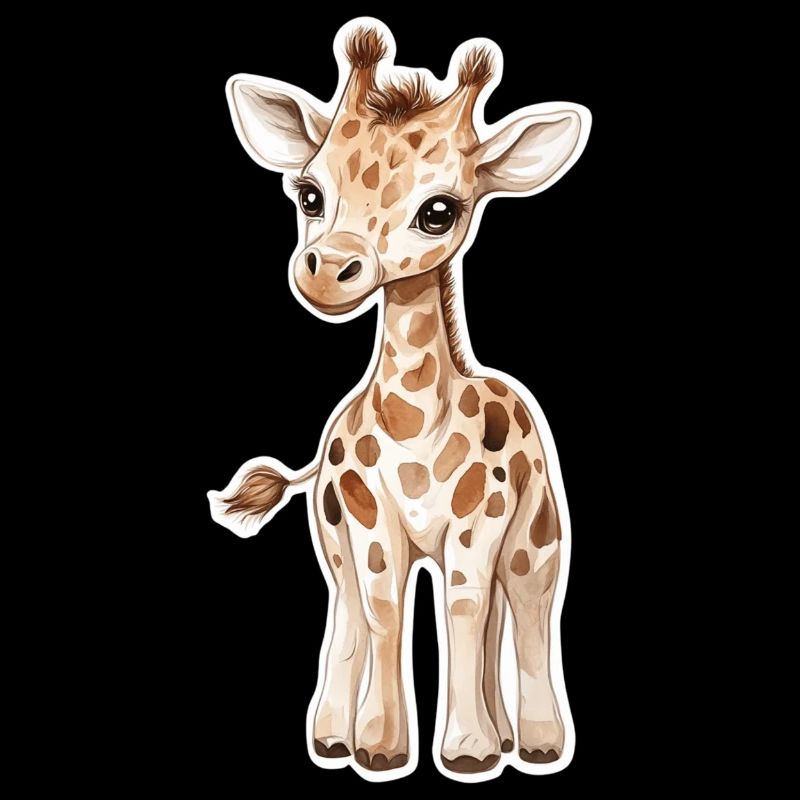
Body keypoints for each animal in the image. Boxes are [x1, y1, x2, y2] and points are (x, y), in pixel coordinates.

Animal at [209, 18, 590, 782]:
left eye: (440, 210)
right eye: (309, 194)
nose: (327, 271)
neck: (414, 422)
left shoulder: (478, 522)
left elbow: (464, 611)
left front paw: (467, 752)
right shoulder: (367, 519)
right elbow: (387, 609)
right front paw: (380, 748)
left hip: (535, 533)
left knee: (523, 602)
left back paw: (533, 743)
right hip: (331, 535)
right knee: (355, 610)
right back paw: (333, 737)